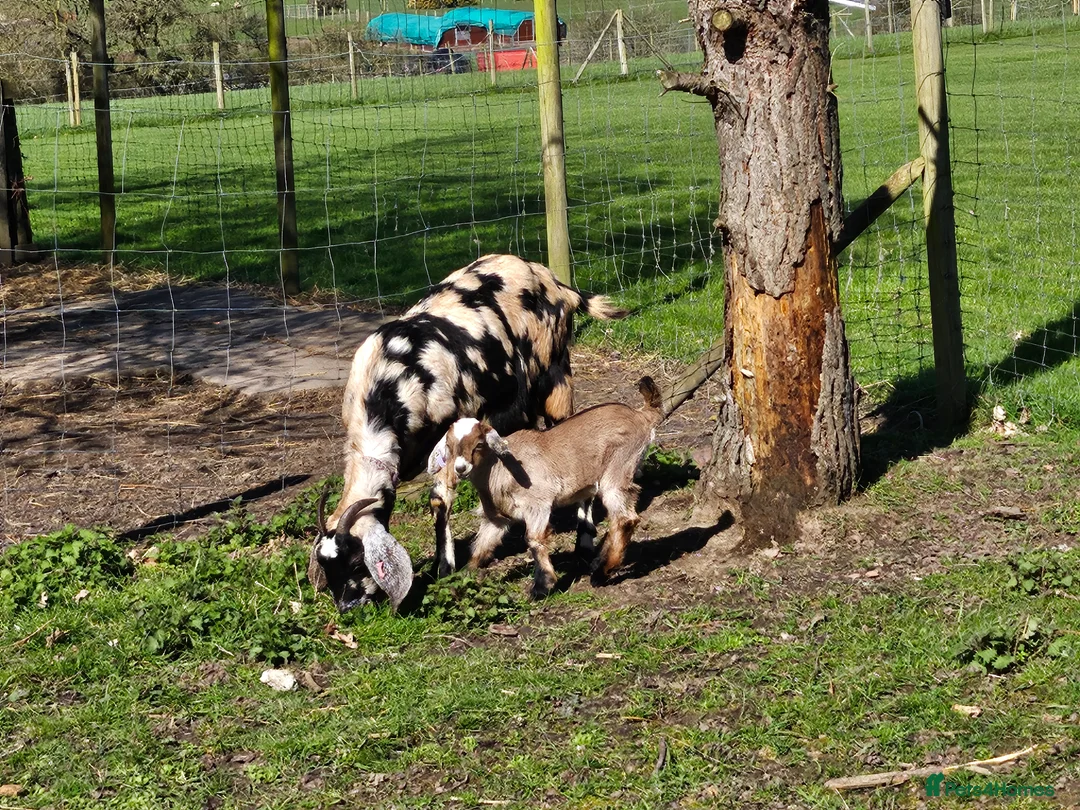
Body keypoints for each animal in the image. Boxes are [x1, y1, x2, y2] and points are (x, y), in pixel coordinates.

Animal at [309, 254, 627, 612]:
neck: (387, 381)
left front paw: (444, 567)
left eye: (355, 561)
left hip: (555, 375)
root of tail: (554, 281)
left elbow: (438, 499)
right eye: (326, 566)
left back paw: (584, 540)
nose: (347, 607)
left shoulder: (449, 437)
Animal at [428, 377, 663, 598]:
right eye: (449, 446)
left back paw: (600, 573)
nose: (460, 468)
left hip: (618, 469)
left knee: (625, 519)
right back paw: (599, 564)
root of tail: (642, 415)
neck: (500, 468)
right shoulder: (498, 517)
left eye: (478, 444)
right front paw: (461, 579)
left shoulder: (538, 504)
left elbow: (534, 540)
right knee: (618, 520)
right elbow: (480, 547)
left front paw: (543, 586)